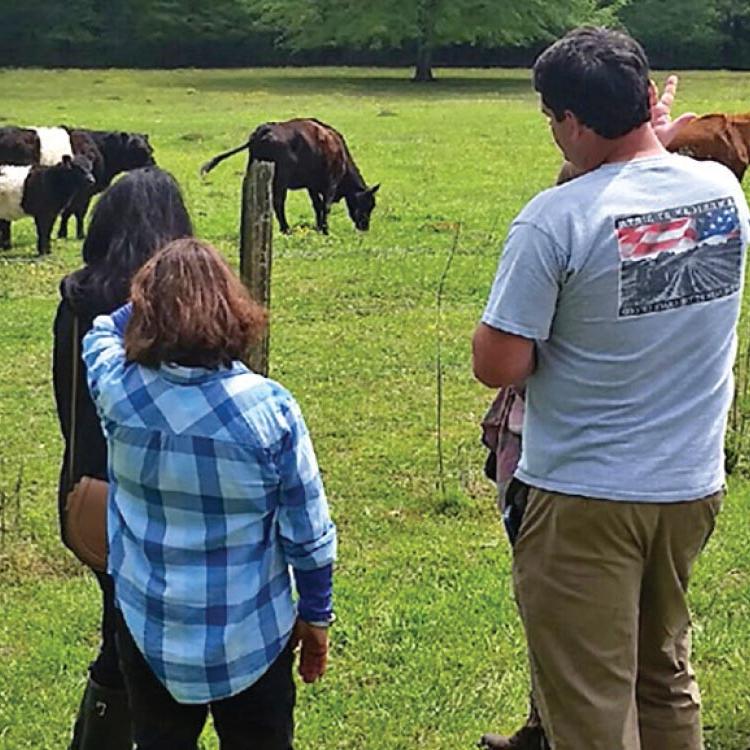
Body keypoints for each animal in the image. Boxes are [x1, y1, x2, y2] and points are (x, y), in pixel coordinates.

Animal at [201, 117, 382, 234]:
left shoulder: (311, 187)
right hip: (281, 178)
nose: (364, 227)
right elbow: (326, 206)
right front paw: (325, 230)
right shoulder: (331, 182)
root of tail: (265, 129)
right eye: (368, 204)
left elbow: (317, 205)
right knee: (278, 202)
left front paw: (318, 227)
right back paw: (285, 229)